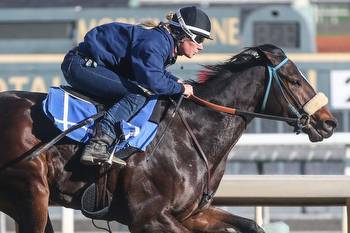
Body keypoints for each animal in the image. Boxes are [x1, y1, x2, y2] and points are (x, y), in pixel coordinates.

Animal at [0, 44, 336, 232]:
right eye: (294, 80)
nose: (329, 122)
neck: (194, 132)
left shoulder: (191, 214)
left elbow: (252, 226)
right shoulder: (147, 218)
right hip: (32, 193)